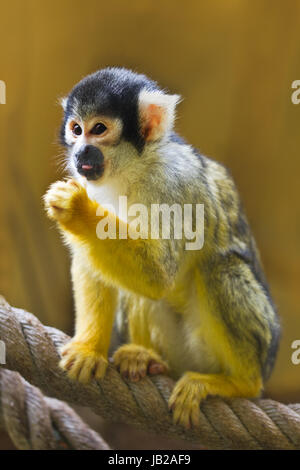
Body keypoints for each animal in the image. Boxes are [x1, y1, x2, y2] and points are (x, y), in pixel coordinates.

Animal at [44, 67, 282, 430]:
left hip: (251, 345)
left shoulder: (171, 181)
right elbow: (92, 263)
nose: (80, 152)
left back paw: (237, 382)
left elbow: (159, 274)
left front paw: (76, 209)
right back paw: (145, 359)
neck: (131, 169)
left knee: (219, 268)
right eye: (76, 129)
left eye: (98, 129)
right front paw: (89, 349)